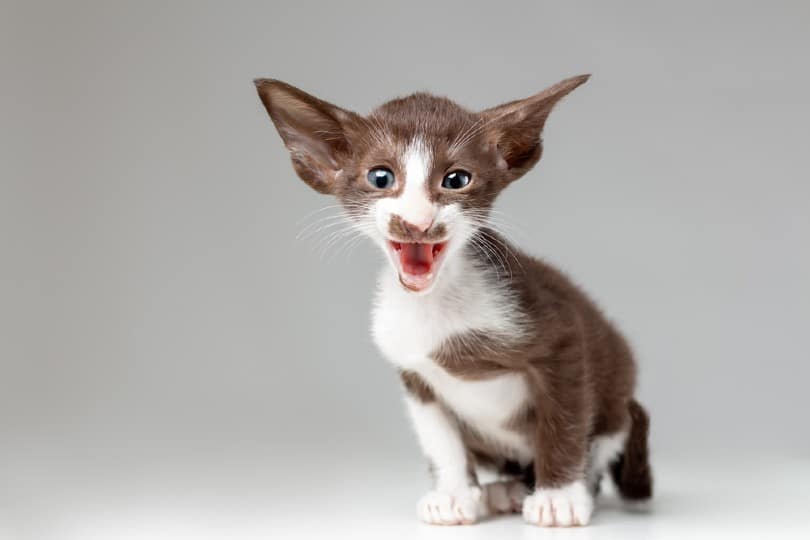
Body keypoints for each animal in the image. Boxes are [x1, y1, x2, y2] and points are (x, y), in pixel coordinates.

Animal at [252, 76, 652, 528]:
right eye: (380, 177)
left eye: (457, 179)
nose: (416, 223)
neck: (436, 304)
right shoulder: (413, 371)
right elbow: (440, 439)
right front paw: (453, 495)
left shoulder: (559, 334)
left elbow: (564, 420)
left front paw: (559, 497)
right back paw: (506, 489)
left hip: (616, 393)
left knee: (606, 432)